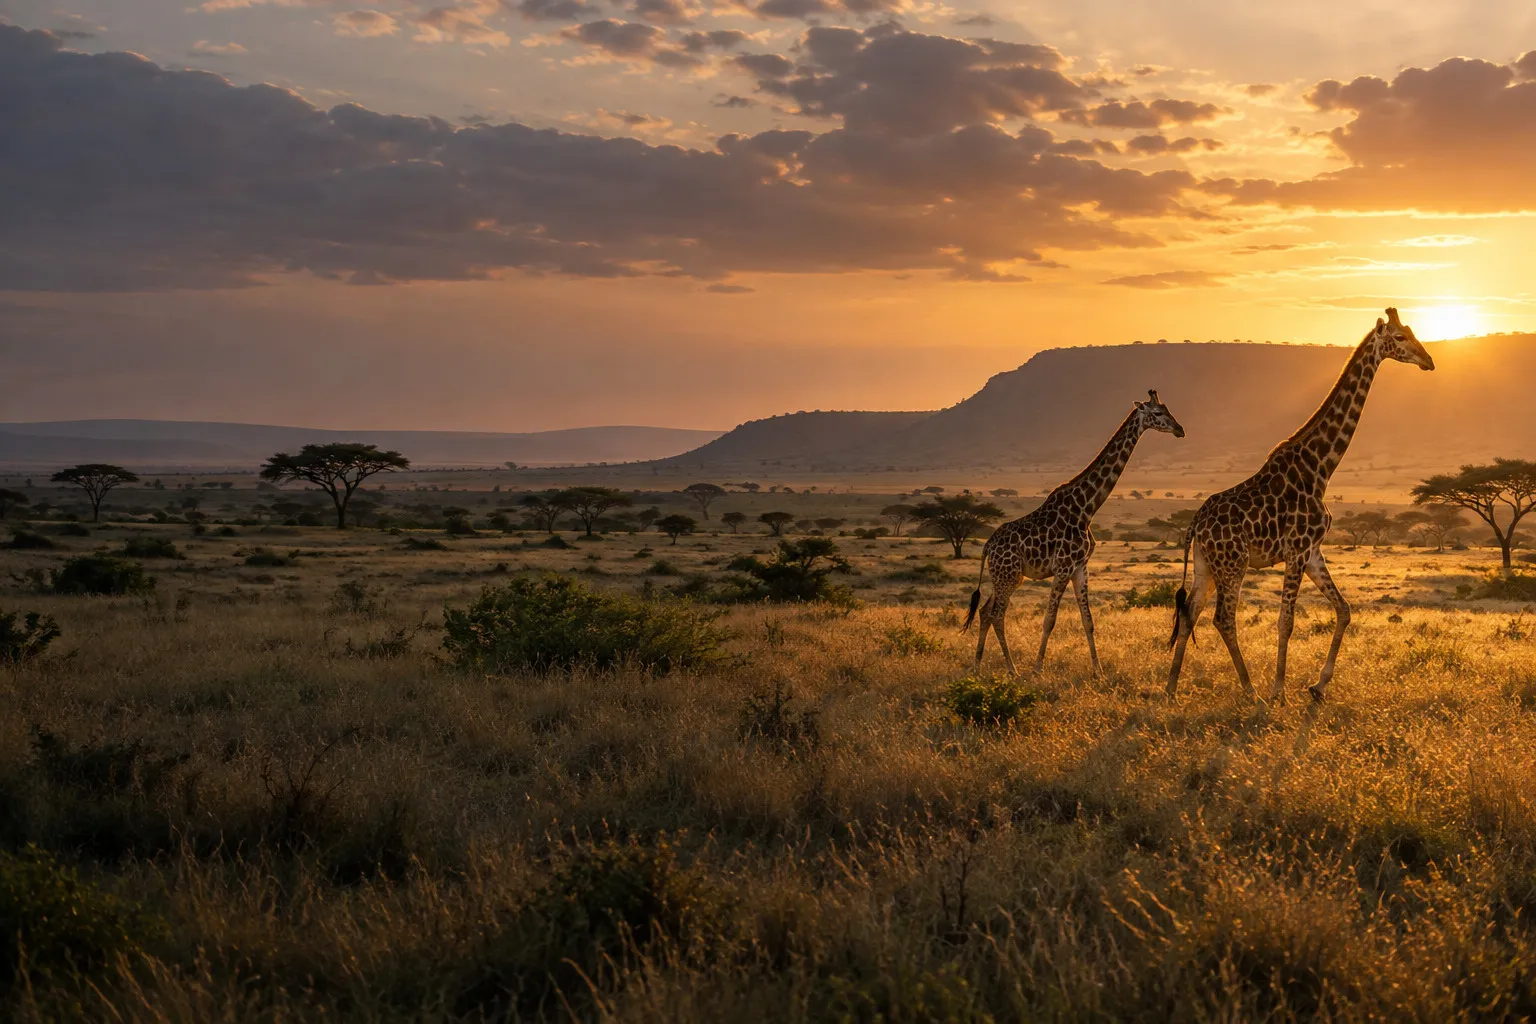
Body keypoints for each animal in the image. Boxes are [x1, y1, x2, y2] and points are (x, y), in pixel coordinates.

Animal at [965, 391, 1185, 675]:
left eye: (1168, 410)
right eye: (1158, 413)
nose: (1180, 430)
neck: (1086, 507)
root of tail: (987, 547)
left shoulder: (1081, 567)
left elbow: (1087, 620)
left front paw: (1098, 671)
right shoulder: (1063, 566)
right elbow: (1049, 619)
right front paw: (1037, 670)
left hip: (1007, 576)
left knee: (984, 611)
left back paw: (978, 666)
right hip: (1008, 575)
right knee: (997, 614)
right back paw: (1013, 670)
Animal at [1166, 308, 1435, 704]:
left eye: (1413, 332)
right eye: (1400, 337)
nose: (1429, 360)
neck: (1320, 467)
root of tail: (1195, 524)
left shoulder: (1312, 552)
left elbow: (1344, 609)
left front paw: (1319, 685)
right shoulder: (1296, 550)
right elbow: (1286, 620)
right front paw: (1280, 690)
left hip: (1205, 566)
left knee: (1189, 613)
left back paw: (1170, 689)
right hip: (1233, 564)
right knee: (1223, 619)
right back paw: (1252, 692)